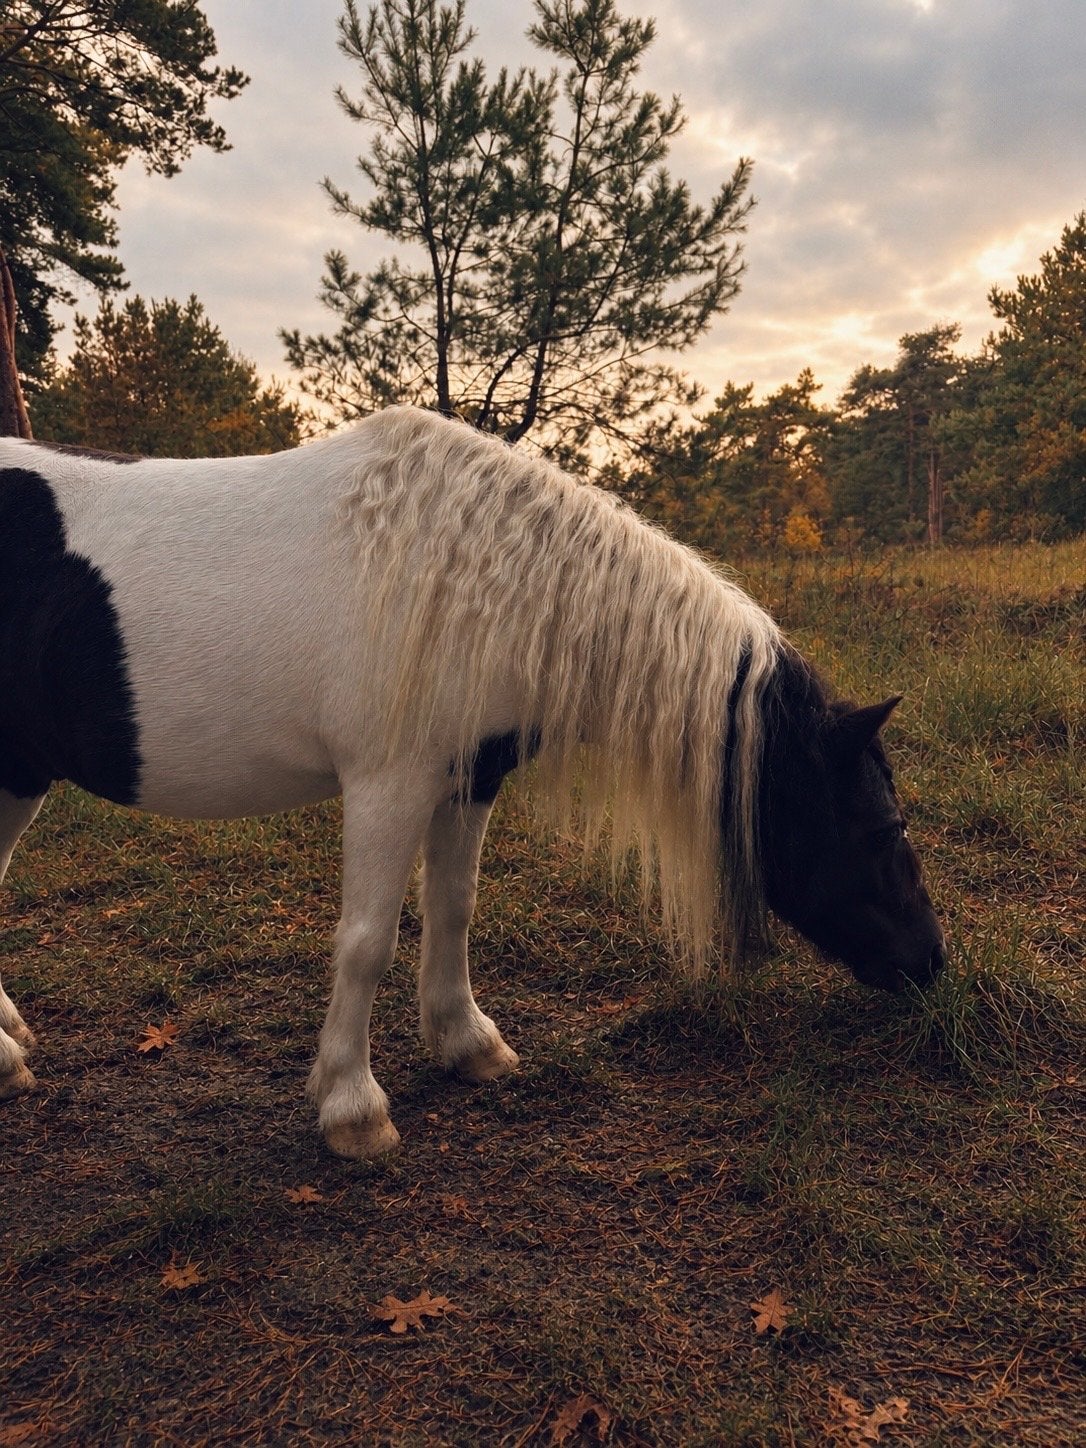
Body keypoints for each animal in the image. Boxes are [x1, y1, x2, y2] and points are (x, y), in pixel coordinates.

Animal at [0, 406, 945, 1158]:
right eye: (884, 829)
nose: (931, 964)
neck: (471, 576)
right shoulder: (389, 784)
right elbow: (367, 940)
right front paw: (352, 1108)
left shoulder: (467, 778)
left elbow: (454, 908)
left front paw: (466, 1043)